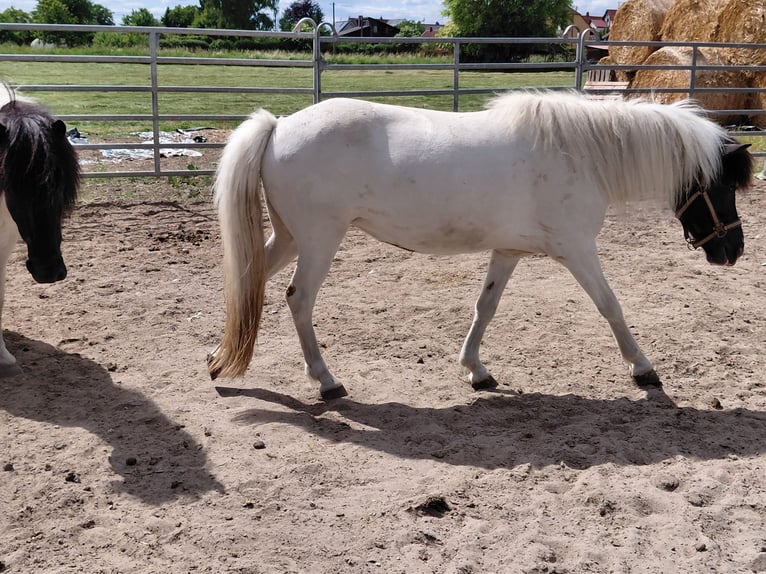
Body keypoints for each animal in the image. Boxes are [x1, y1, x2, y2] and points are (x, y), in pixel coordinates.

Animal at [207, 91, 752, 400]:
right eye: (722, 185)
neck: (579, 153)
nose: (733, 252)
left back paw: (217, 359)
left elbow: (484, 307)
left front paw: (477, 371)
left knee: (248, 281)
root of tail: (279, 126)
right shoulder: (577, 250)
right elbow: (611, 306)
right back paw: (326, 381)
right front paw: (643, 369)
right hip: (320, 240)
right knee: (299, 300)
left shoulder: (507, 252)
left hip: (290, 237)